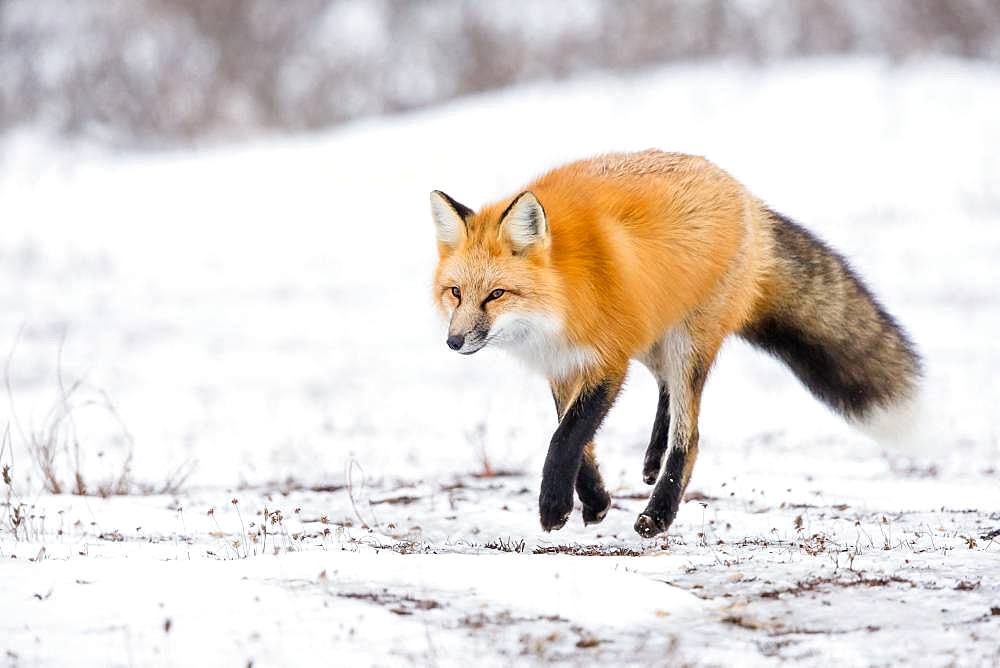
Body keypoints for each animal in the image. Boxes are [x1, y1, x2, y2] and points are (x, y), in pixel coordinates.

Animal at [430, 150, 920, 536]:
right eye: (455, 292)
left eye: (496, 294)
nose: (454, 342)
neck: (564, 294)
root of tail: (744, 195)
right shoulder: (564, 365)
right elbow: (578, 441)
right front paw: (595, 500)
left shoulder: (608, 361)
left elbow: (565, 437)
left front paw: (554, 506)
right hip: (654, 332)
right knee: (666, 390)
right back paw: (650, 459)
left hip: (686, 343)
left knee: (691, 434)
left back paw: (659, 513)